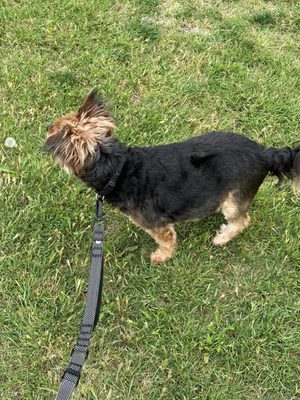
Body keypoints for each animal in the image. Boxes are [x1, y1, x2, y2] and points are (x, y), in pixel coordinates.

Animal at [44, 89, 300, 264]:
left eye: (55, 127)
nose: (47, 125)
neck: (118, 168)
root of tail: (265, 153)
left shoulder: (156, 224)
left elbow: (167, 240)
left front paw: (161, 256)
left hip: (235, 198)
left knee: (242, 220)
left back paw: (221, 238)